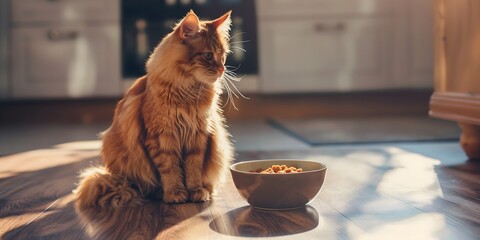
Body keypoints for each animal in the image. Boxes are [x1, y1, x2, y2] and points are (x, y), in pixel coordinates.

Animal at [73, 9, 234, 208]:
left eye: (223, 56)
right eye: (208, 56)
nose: (222, 69)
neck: (188, 93)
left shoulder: (198, 136)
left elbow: (193, 168)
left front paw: (196, 190)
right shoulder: (161, 137)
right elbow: (170, 169)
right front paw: (175, 193)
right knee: (145, 186)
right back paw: (159, 193)